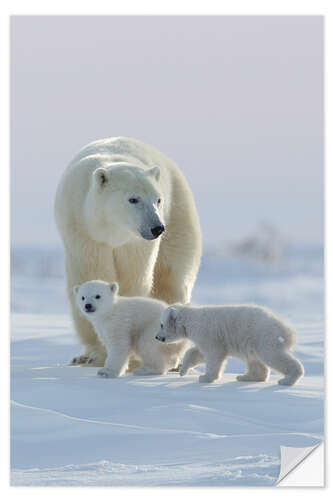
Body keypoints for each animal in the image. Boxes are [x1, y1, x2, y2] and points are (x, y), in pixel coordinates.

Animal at [54, 135, 201, 366]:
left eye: (157, 199)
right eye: (133, 199)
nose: (157, 228)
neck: (112, 231)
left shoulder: (135, 243)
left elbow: (135, 279)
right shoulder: (83, 230)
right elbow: (91, 274)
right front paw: (97, 353)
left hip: (179, 212)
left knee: (172, 278)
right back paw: (81, 357)